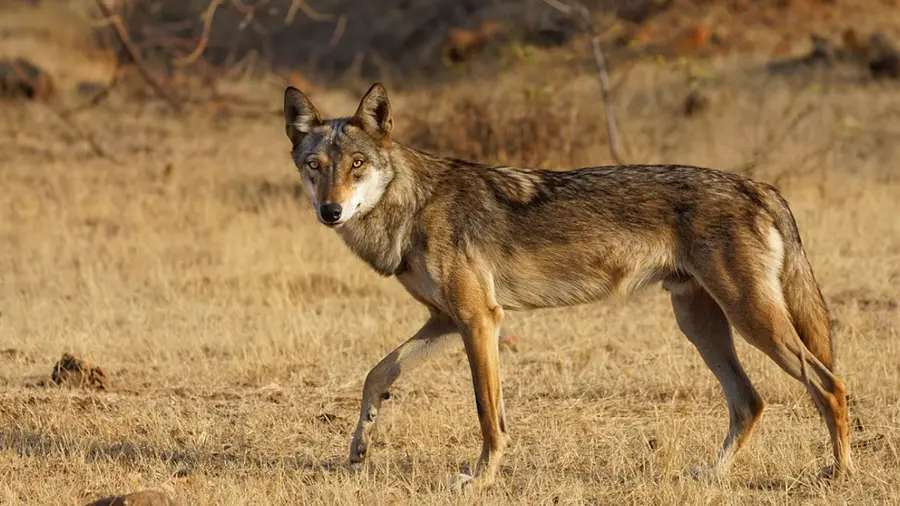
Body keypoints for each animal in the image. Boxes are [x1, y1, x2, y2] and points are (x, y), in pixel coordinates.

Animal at [282, 83, 852, 489]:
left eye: (357, 165)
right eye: (316, 166)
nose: (330, 211)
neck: (414, 205)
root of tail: (759, 185)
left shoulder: (479, 319)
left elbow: (488, 413)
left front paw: (480, 479)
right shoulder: (447, 320)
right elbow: (375, 375)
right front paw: (358, 448)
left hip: (750, 319)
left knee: (828, 384)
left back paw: (839, 474)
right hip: (700, 324)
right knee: (749, 401)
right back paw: (712, 475)